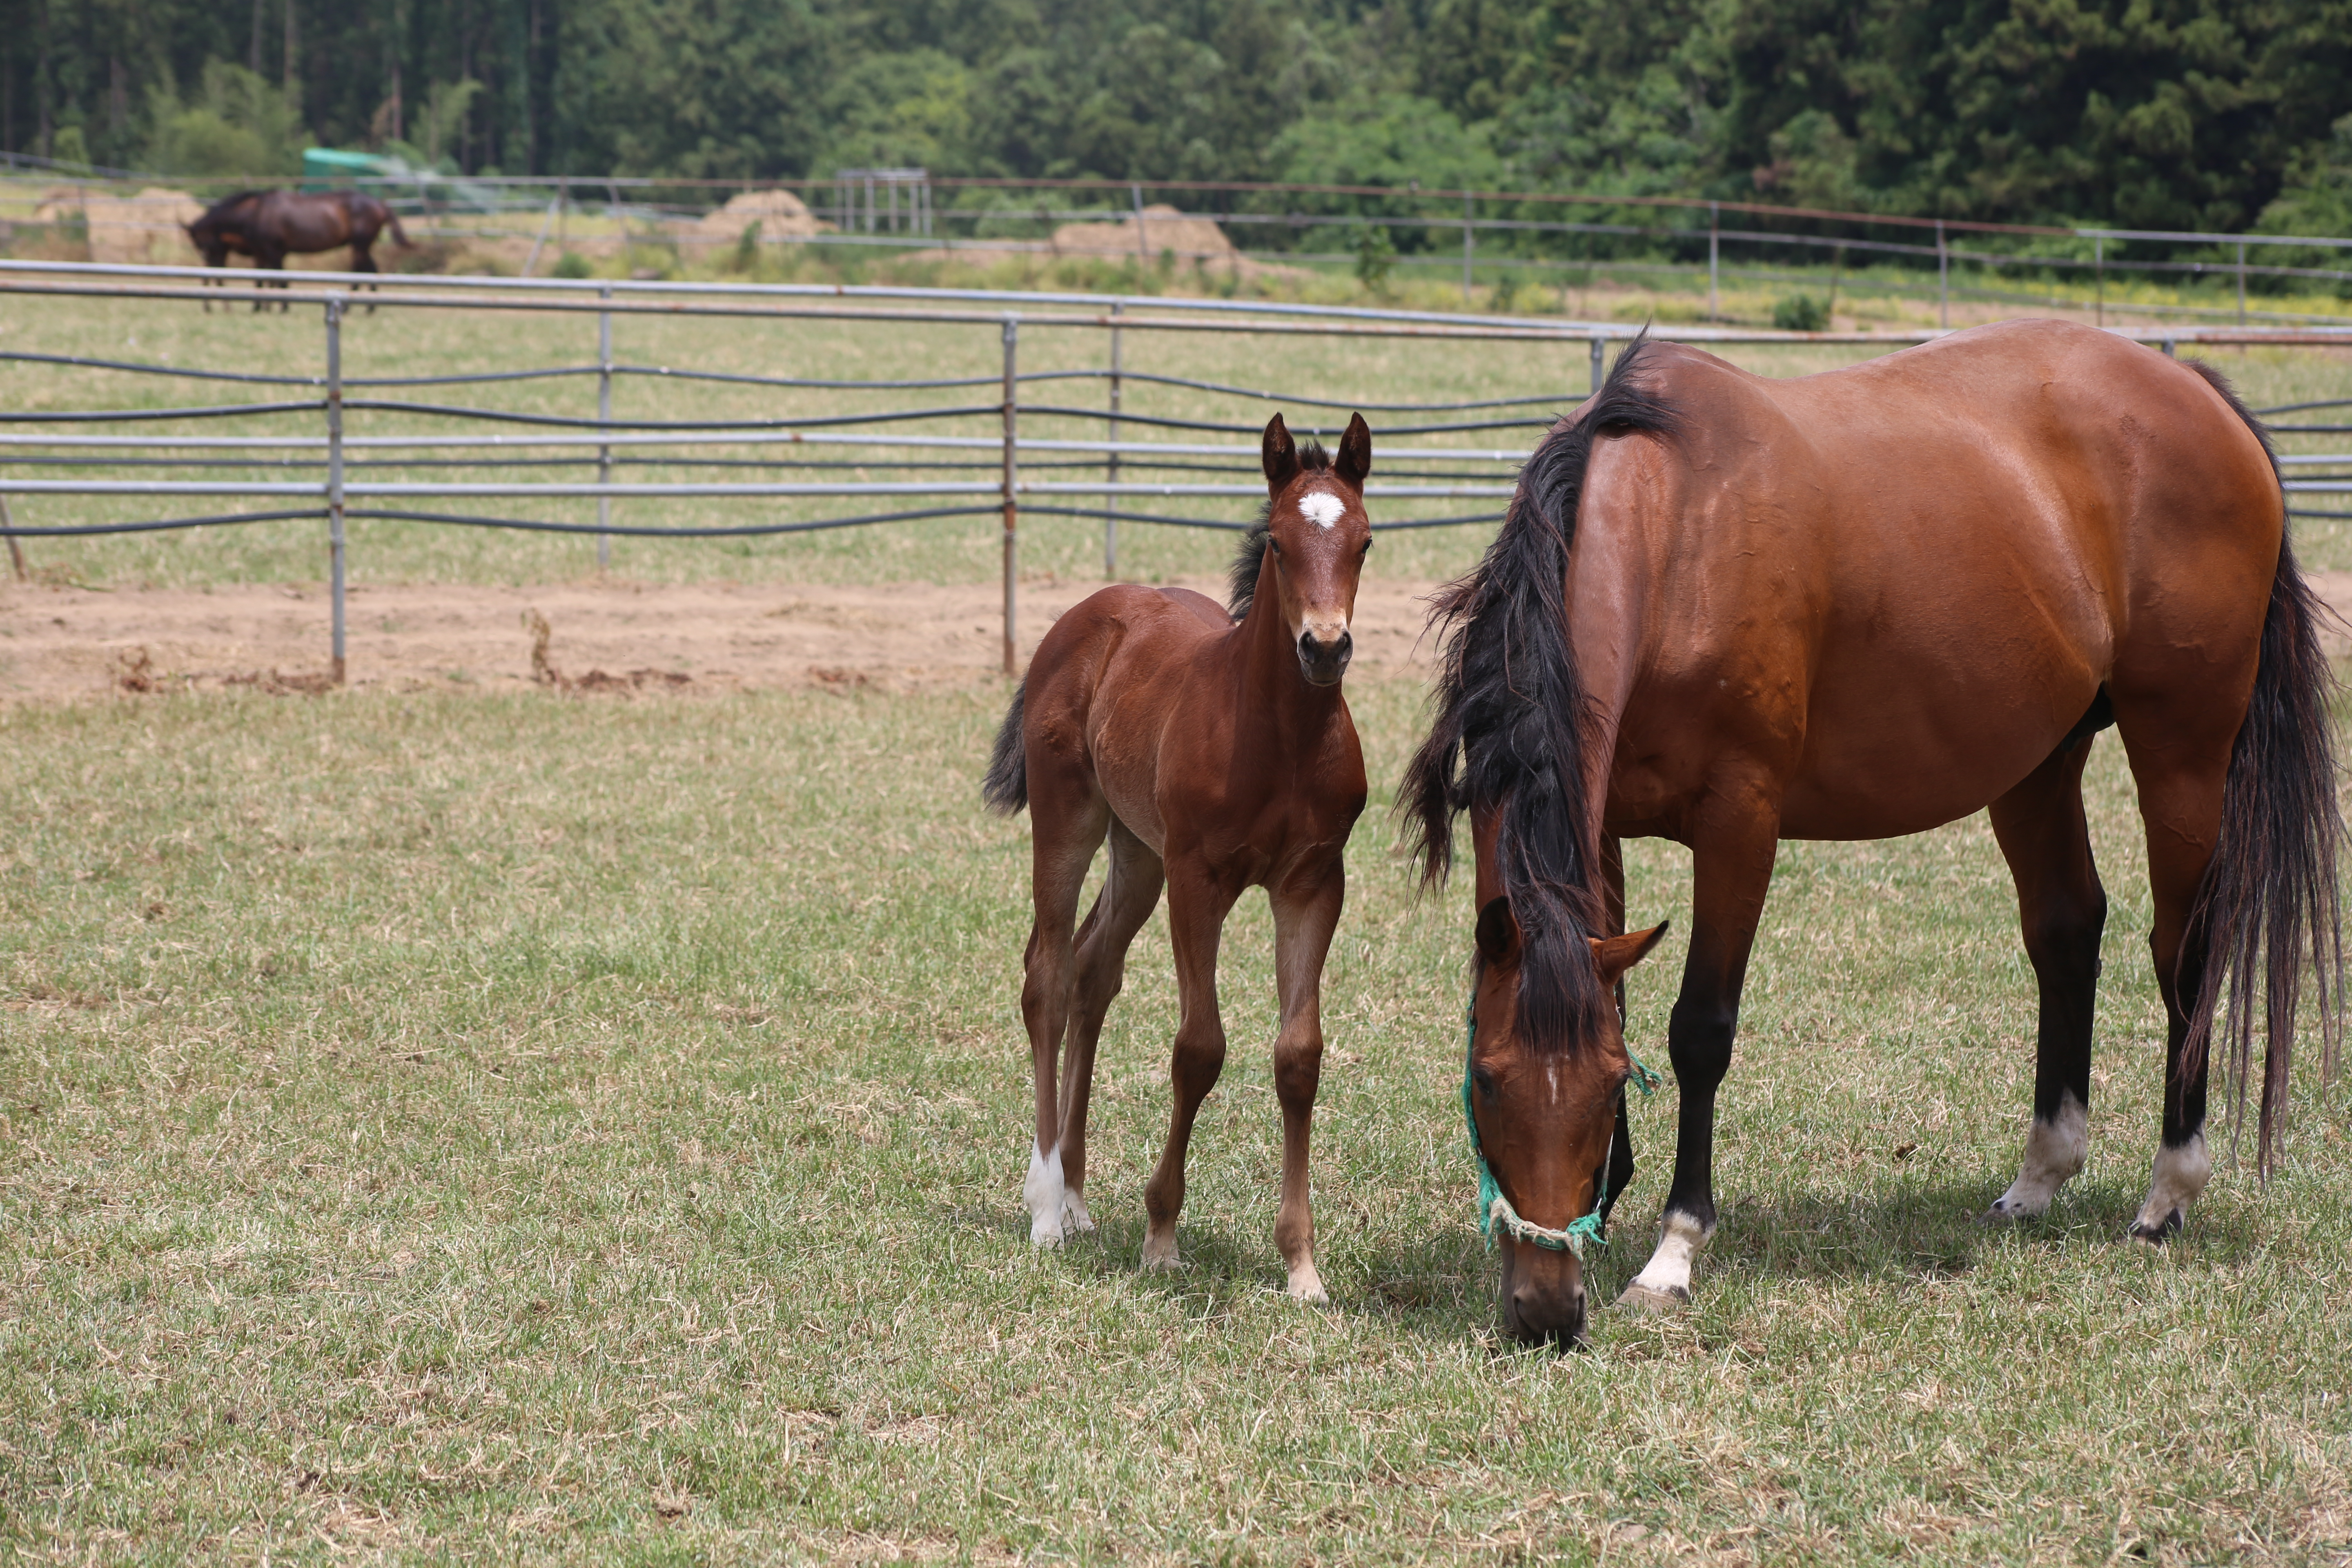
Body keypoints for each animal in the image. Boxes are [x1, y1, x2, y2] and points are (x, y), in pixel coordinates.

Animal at [186, 188, 412, 310]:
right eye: (199, 247)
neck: (257, 211)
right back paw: (370, 307)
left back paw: (351, 306)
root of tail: (380, 204)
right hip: (362, 245)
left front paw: (280, 306)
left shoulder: (273, 251)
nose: (212, 269)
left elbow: (277, 278)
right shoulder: (264, 252)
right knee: (371, 269)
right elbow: (265, 278)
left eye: (205, 246)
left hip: (359, 245)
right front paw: (263, 306)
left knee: (360, 271)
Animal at [978, 409, 1373, 1297]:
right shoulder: (1202, 879)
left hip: (1138, 851)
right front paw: (1162, 1235)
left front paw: (1301, 1265)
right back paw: (1046, 1206)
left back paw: (1079, 1197)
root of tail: (1089, 613)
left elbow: (1299, 1055)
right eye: (1277, 543)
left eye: (1365, 540)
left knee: (1093, 970)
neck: (1281, 737)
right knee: (1047, 975)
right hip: (1071, 821)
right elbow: (1200, 1048)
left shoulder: (1312, 882)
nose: (1324, 648)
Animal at [1392, 322, 2333, 1354]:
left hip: (2182, 753)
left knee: (2184, 951)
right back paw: (2038, 1177)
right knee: (2065, 931)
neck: (1678, 526)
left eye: (1605, 1091)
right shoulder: (1599, 831)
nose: (1545, 1313)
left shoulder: (1739, 820)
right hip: (2036, 761)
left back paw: (2165, 1197)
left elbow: (1698, 1031)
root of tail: (2195, 391)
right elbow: (1620, 1001)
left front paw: (1672, 1253)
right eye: (1484, 1081)